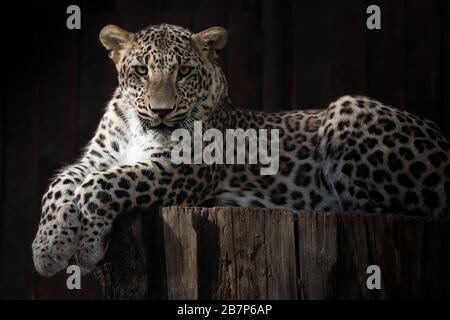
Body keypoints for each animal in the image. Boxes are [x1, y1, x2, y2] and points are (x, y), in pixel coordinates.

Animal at [32, 23, 450, 278]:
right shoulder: (94, 159)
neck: (138, 128)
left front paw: (87, 245)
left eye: (184, 72)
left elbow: (102, 185)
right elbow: (61, 184)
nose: (162, 112)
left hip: (350, 108)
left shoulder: (181, 169)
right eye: (140, 72)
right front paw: (48, 248)